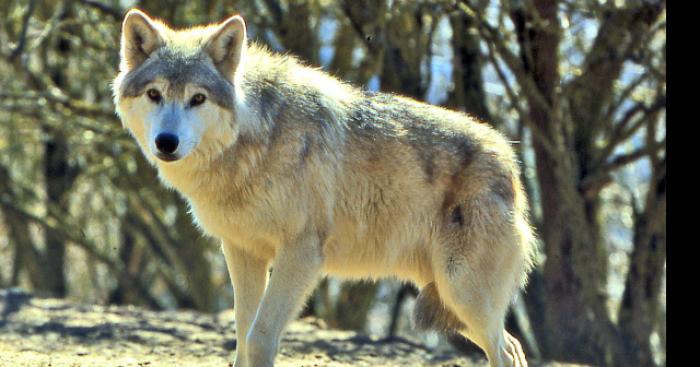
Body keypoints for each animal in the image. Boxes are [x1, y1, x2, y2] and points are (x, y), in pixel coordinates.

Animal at [112, 9, 536, 367]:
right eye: (155, 94)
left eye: (197, 98)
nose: (166, 143)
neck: (256, 141)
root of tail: (509, 158)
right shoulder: (242, 251)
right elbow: (241, 336)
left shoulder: (300, 254)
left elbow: (258, 338)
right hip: (449, 298)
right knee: (513, 346)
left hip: (461, 292)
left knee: (506, 351)